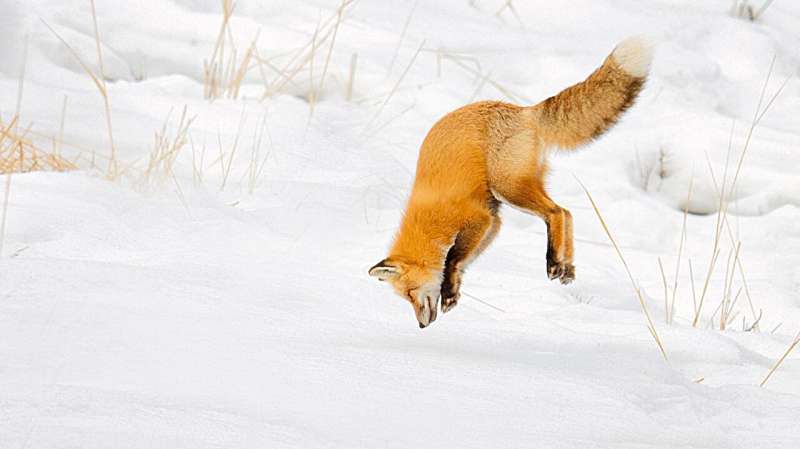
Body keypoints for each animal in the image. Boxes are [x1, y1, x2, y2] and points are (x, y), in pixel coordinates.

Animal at [369, 36, 653, 328]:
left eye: (410, 293)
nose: (421, 325)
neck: (428, 220)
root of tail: (523, 110)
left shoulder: (479, 217)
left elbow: (452, 258)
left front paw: (448, 293)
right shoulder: (493, 223)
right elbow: (460, 262)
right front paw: (453, 292)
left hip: (508, 188)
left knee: (557, 213)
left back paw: (553, 261)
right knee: (568, 213)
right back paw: (567, 268)